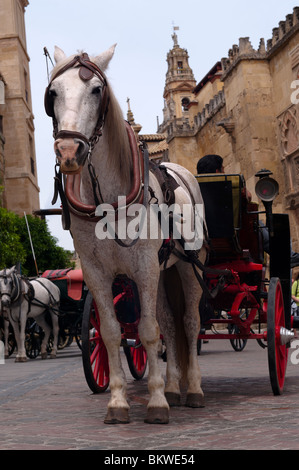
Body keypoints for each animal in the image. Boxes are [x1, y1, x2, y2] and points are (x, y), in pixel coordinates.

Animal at [45, 46, 209, 424]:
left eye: (96, 90)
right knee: (170, 323)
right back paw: (175, 387)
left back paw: (192, 390)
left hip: (187, 267)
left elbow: (148, 332)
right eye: (53, 93)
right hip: (163, 274)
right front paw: (119, 402)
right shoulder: (95, 273)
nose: (69, 153)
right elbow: (110, 333)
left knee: (189, 322)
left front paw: (157, 402)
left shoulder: (144, 266)